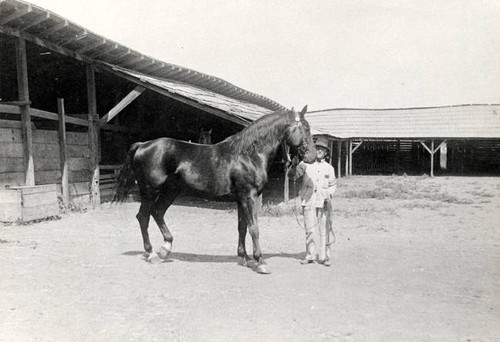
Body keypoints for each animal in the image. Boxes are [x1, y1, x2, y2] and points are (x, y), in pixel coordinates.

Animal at [114, 105, 314, 274]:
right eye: (305, 128)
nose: (312, 156)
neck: (248, 154)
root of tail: (142, 145)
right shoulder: (248, 196)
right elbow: (254, 228)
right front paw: (260, 262)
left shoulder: (240, 198)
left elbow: (242, 227)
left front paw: (244, 258)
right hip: (150, 192)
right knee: (143, 217)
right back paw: (151, 253)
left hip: (170, 191)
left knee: (157, 212)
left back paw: (165, 249)